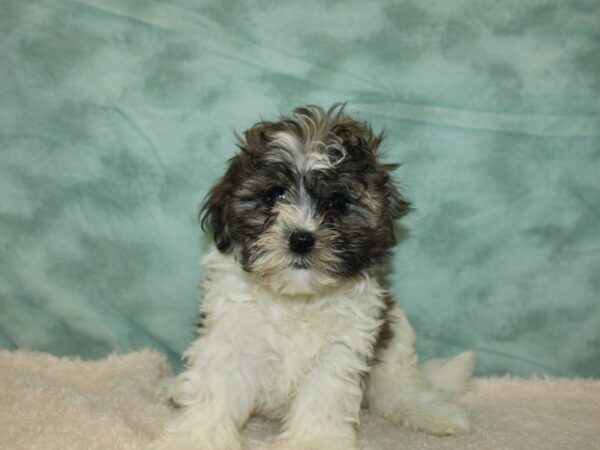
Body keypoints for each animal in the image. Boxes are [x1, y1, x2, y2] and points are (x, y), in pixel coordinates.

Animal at [152, 104, 476, 450]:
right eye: (274, 195)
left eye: (338, 202)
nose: (301, 239)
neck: (297, 298)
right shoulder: (232, 335)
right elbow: (215, 391)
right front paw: (195, 437)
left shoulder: (341, 348)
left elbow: (323, 398)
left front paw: (314, 440)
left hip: (396, 339)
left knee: (399, 388)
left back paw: (431, 413)